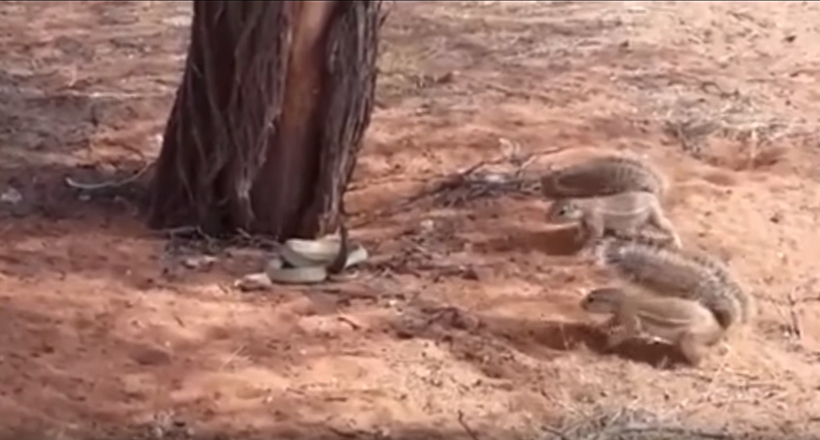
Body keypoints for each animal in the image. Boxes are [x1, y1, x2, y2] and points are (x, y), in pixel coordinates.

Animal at [544, 191, 684, 249]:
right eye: (551, 205)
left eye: (562, 212)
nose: (547, 218)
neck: (585, 206)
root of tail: (654, 197)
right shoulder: (584, 221)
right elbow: (581, 229)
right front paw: (577, 237)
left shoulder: (595, 219)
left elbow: (597, 233)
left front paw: (586, 244)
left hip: (655, 216)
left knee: (668, 226)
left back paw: (677, 242)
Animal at [580, 286, 720, 364]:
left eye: (591, 299)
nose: (581, 304)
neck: (622, 300)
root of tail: (718, 328)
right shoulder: (620, 315)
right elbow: (611, 321)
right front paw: (597, 326)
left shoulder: (629, 315)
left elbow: (632, 329)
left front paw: (606, 345)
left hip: (692, 336)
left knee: (703, 358)